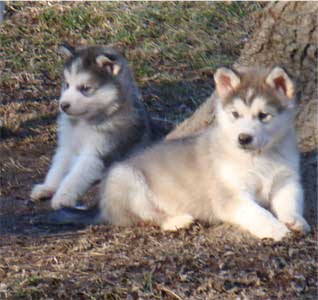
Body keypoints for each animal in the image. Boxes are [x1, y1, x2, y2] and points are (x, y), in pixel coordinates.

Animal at [30, 44, 150, 209]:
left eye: (85, 88)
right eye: (67, 85)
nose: (63, 105)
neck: (84, 123)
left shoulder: (95, 154)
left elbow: (74, 177)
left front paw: (62, 196)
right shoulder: (67, 147)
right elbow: (58, 169)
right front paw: (48, 187)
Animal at [51, 66, 310, 241]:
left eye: (263, 115)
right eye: (235, 114)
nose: (243, 138)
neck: (260, 157)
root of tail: (102, 203)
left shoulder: (287, 180)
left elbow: (291, 201)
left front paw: (295, 220)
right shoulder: (231, 195)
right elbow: (258, 213)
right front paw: (277, 229)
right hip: (126, 180)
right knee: (147, 215)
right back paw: (177, 220)